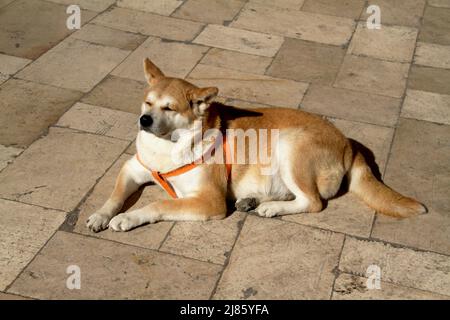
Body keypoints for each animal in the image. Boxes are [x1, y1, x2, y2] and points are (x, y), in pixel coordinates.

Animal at [86, 57, 428, 232]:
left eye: (169, 108)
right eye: (148, 102)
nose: (144, 120)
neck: (169, 147)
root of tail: (349, 144)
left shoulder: (209, 201)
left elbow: (159, 204)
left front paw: (129, 217)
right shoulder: (132, 168)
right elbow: (114, 196)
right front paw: (102, 214)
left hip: (289, 144)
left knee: (313, 202)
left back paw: (271, 207)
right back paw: (253, 200)